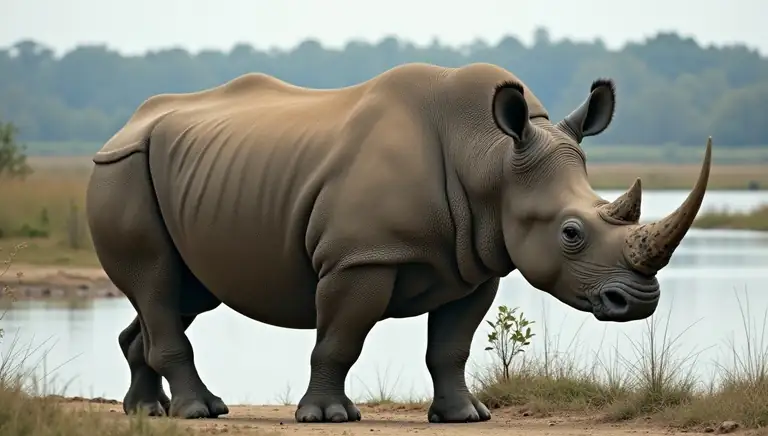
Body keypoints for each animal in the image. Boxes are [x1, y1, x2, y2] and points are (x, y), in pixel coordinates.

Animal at [86, 62, 712, 424]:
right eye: (571, 233)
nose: (639, 303)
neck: (491, 157)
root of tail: (121, 127)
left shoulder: (478, 262)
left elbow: (451, 346)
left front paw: (466, 416)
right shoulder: (360, 257)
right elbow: (340, 339)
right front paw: (328, 416)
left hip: (192, 175)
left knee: (185, 292)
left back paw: (150, 410)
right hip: (121, 169)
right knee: (156, 280)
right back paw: (198, 413)